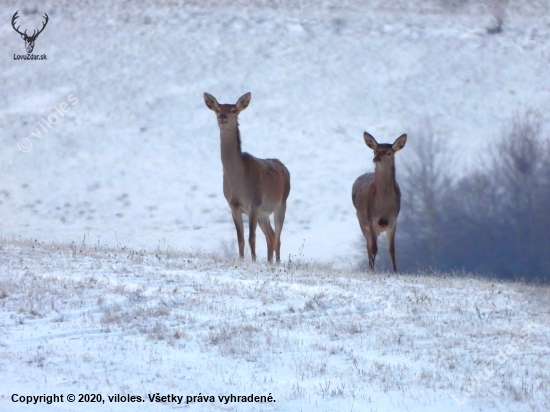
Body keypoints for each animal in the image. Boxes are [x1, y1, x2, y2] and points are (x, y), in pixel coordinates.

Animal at [205, 92, 294, 262]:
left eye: (234, 110)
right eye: (217, 109)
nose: (222, 116)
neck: (238, 180)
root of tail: (284, 167)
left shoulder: (254, 203)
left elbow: (251, 238)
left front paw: (253, 261)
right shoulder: (233, 205)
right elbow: (240, 239)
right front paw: (241, 260)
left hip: (282, 202)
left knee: (277, 237)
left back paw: (277, 262)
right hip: (263, 214)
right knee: (270, 236)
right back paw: (269, 262)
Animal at [352, 133, 408, 274]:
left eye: (389, 153)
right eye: (374, 151)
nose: (376, 159)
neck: (384, 206)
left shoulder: (393, 220)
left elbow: (392, 249)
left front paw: (395, 272)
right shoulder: (371, 219)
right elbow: (374, 248)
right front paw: (373, 271)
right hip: (362, 222)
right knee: (368, 246)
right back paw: (370, 268)